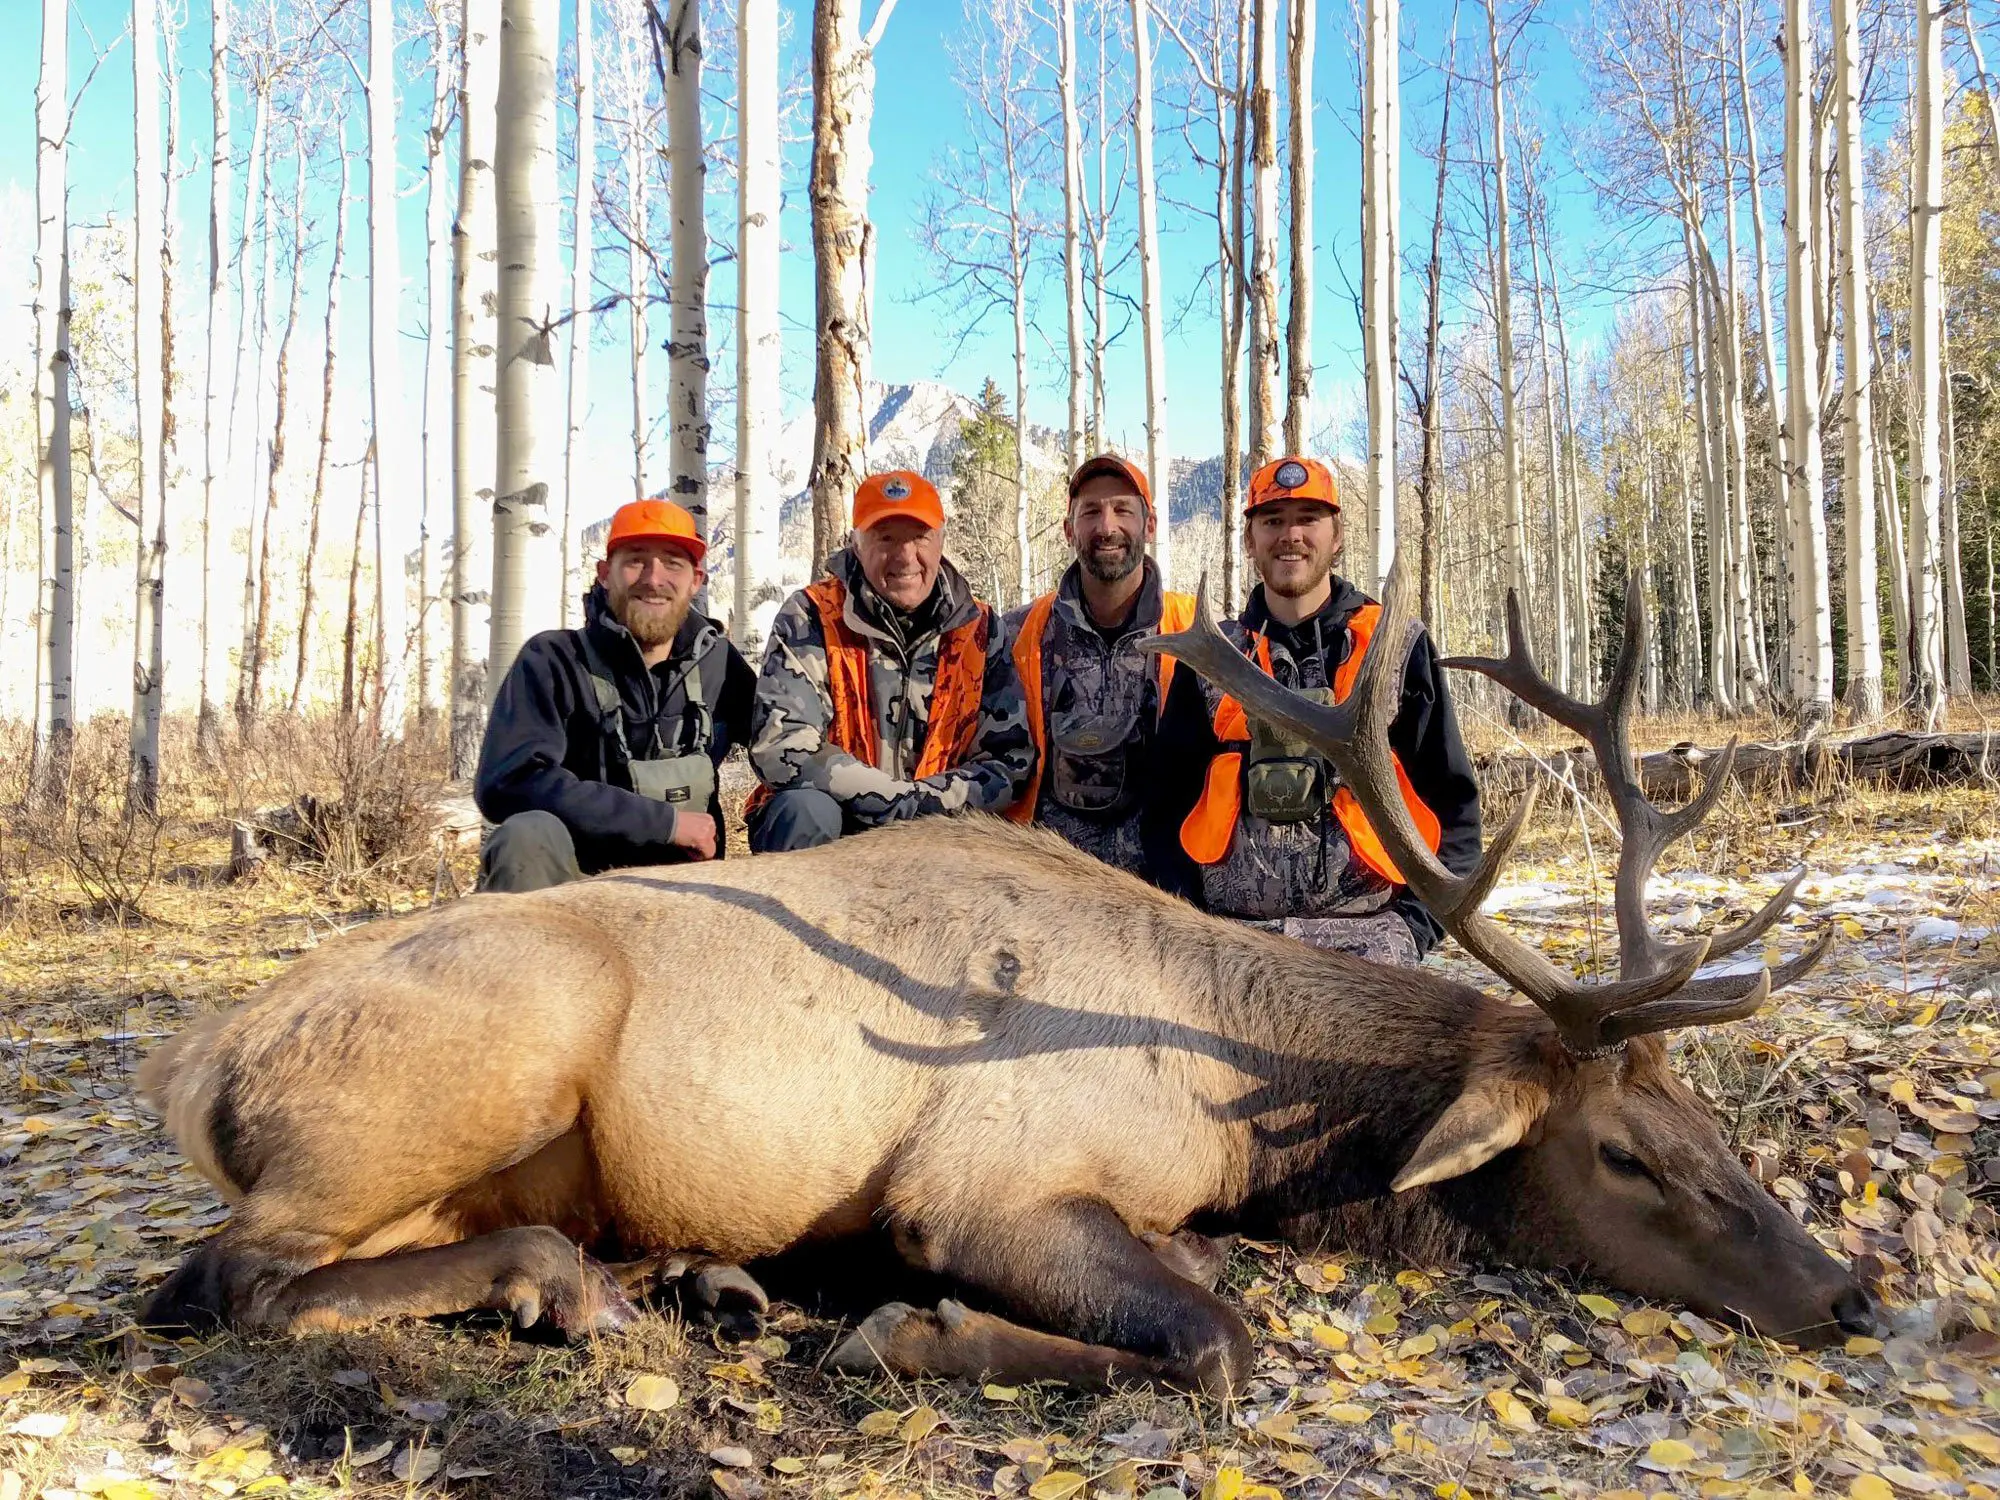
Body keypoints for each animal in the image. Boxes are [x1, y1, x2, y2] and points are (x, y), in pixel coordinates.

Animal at [133, 568, 1864, 1400]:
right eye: (1627, 1154)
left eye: (1717, 1129)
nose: (1848, 1293)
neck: (1238, 1120)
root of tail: (197, 1069)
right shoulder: (979, 1183)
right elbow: (1219, 1344)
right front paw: (907, 1336)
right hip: (478, 1066)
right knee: (224, 1280)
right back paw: (569, 1283)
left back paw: (696, 1278)